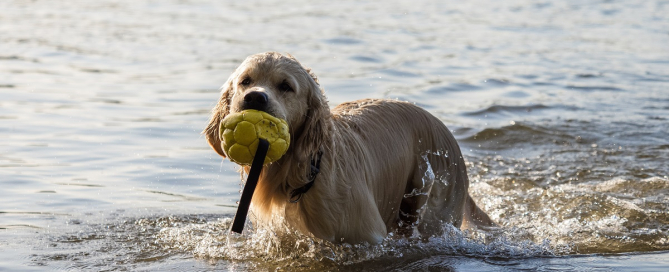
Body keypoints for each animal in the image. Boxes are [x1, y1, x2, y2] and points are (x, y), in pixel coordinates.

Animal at [201, 52, 494, 243]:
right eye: (245, 81)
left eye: (286, 86)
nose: (254, 98)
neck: (302, 175)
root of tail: (450, 137)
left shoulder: (370, 236)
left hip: (430, 210)